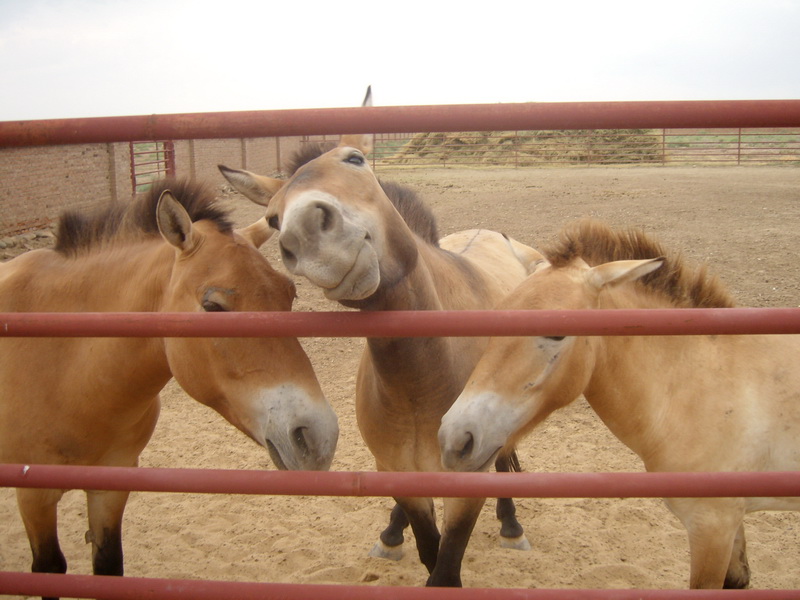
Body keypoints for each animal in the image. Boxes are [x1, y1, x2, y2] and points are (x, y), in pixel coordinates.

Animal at [0, 178, 340, 592]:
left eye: (289, 294)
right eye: (213, 306)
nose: (318, 437)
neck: (67, 370)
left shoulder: (111, 485)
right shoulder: (34, 494)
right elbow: (48, 570)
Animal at [222, 136, 540, 584]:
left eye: (354, 159)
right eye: (272, 217)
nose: (307, 233)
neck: (420, 384)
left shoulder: (465, 484)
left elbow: (445, 568)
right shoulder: (400, 475)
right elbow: (429, 549)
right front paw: (397, 533)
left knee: (506, 455)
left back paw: (511, 523)